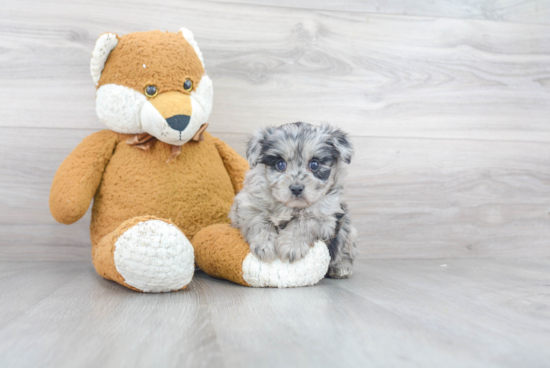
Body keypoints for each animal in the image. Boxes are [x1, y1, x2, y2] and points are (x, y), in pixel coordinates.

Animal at [229, 122, 358, 278]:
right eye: (280, 164)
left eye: (314, 164)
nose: (296, 188)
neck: (289, 206)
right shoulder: (248, 204)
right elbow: (259, 221)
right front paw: (264, 246)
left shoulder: (325, 216)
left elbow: (302, 223)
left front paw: (291, 246)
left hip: (347, 230)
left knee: (344, 250)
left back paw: (341, 267)